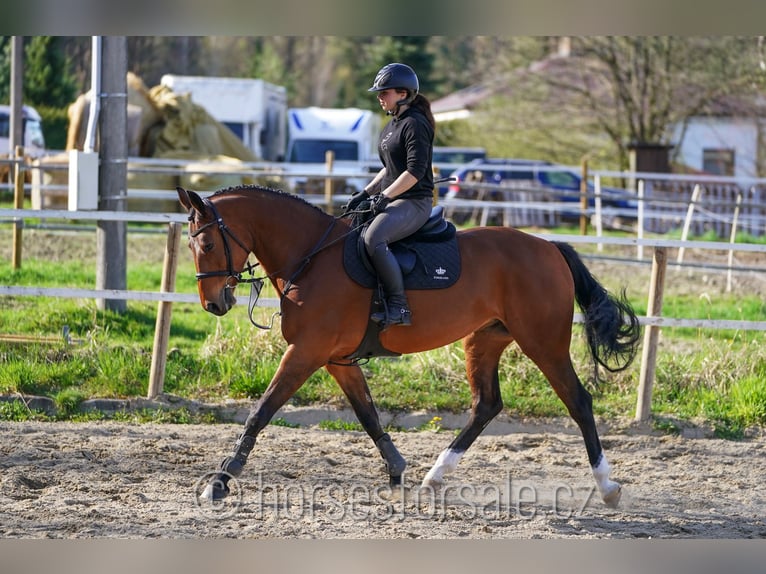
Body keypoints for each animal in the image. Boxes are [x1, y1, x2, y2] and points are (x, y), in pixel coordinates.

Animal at [178, 183, 640, 508]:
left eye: (207, 243)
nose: (213, 304)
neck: (310, 256)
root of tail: (549, 247)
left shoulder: (307, 352)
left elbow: (262, 411)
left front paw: (221, 480)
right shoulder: (335, 359)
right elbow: (367, 415)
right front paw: (397, 472)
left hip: (543, 342)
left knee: (577, 401)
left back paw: (608, 487)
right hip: (484, 340)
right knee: (486, 405)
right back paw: (434, 478)